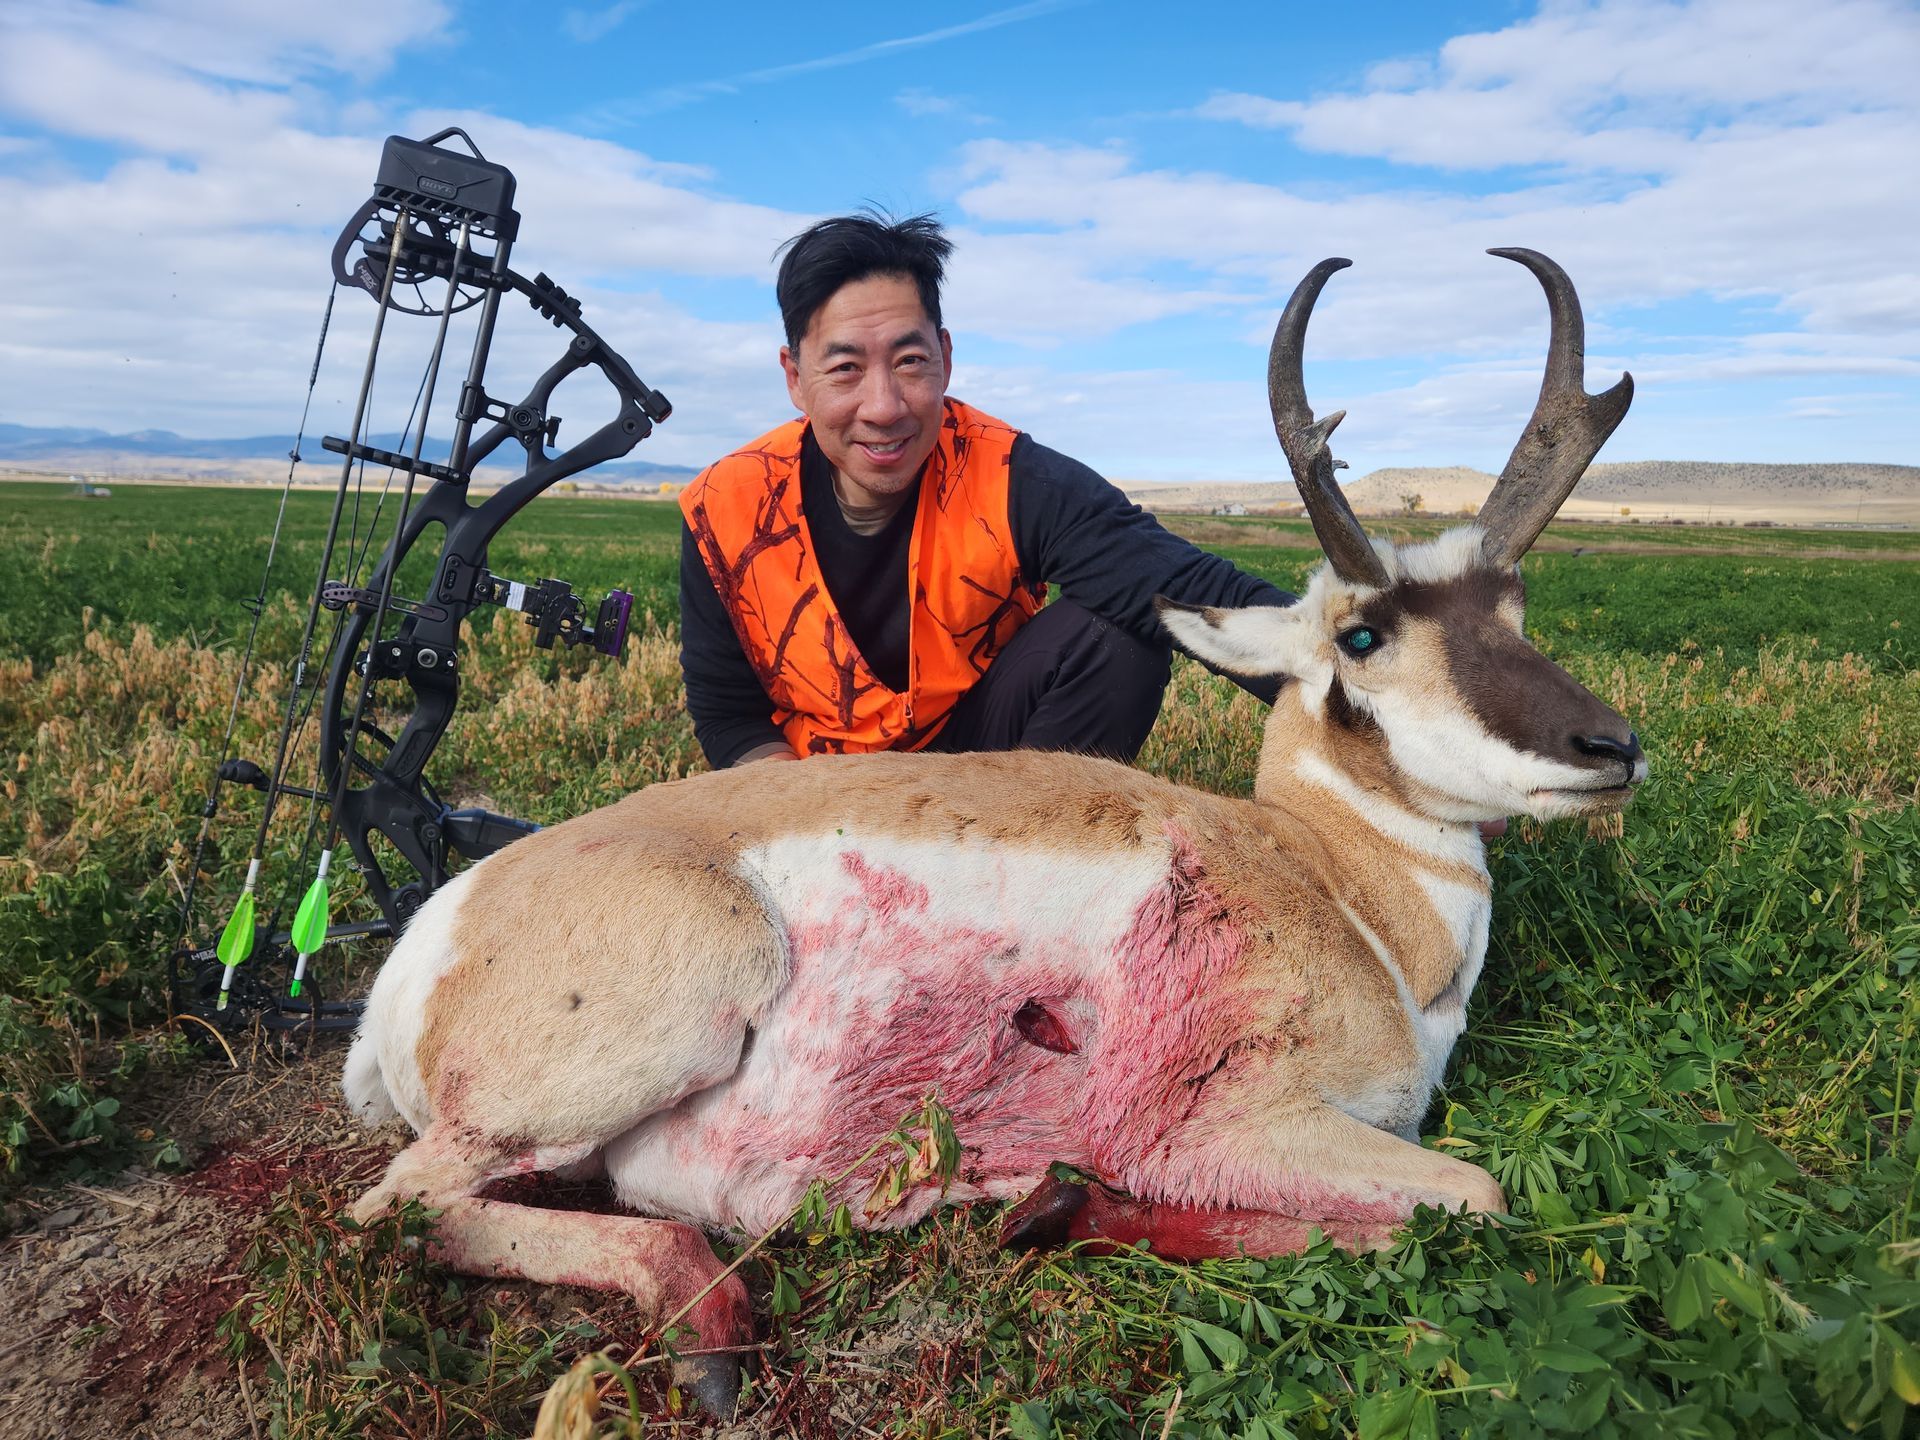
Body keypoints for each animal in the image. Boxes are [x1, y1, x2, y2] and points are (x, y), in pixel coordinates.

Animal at [343, 249, 1644, 1415]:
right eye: (1363, 635)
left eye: (1516, 606)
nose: (1613, 747)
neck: (1337, 889)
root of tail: (437, 930)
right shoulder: (1227, 1122)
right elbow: (1472, 1196)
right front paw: (1066, 1206)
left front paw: (1054, 1207)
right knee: (397, 1212)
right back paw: (712, 1329)